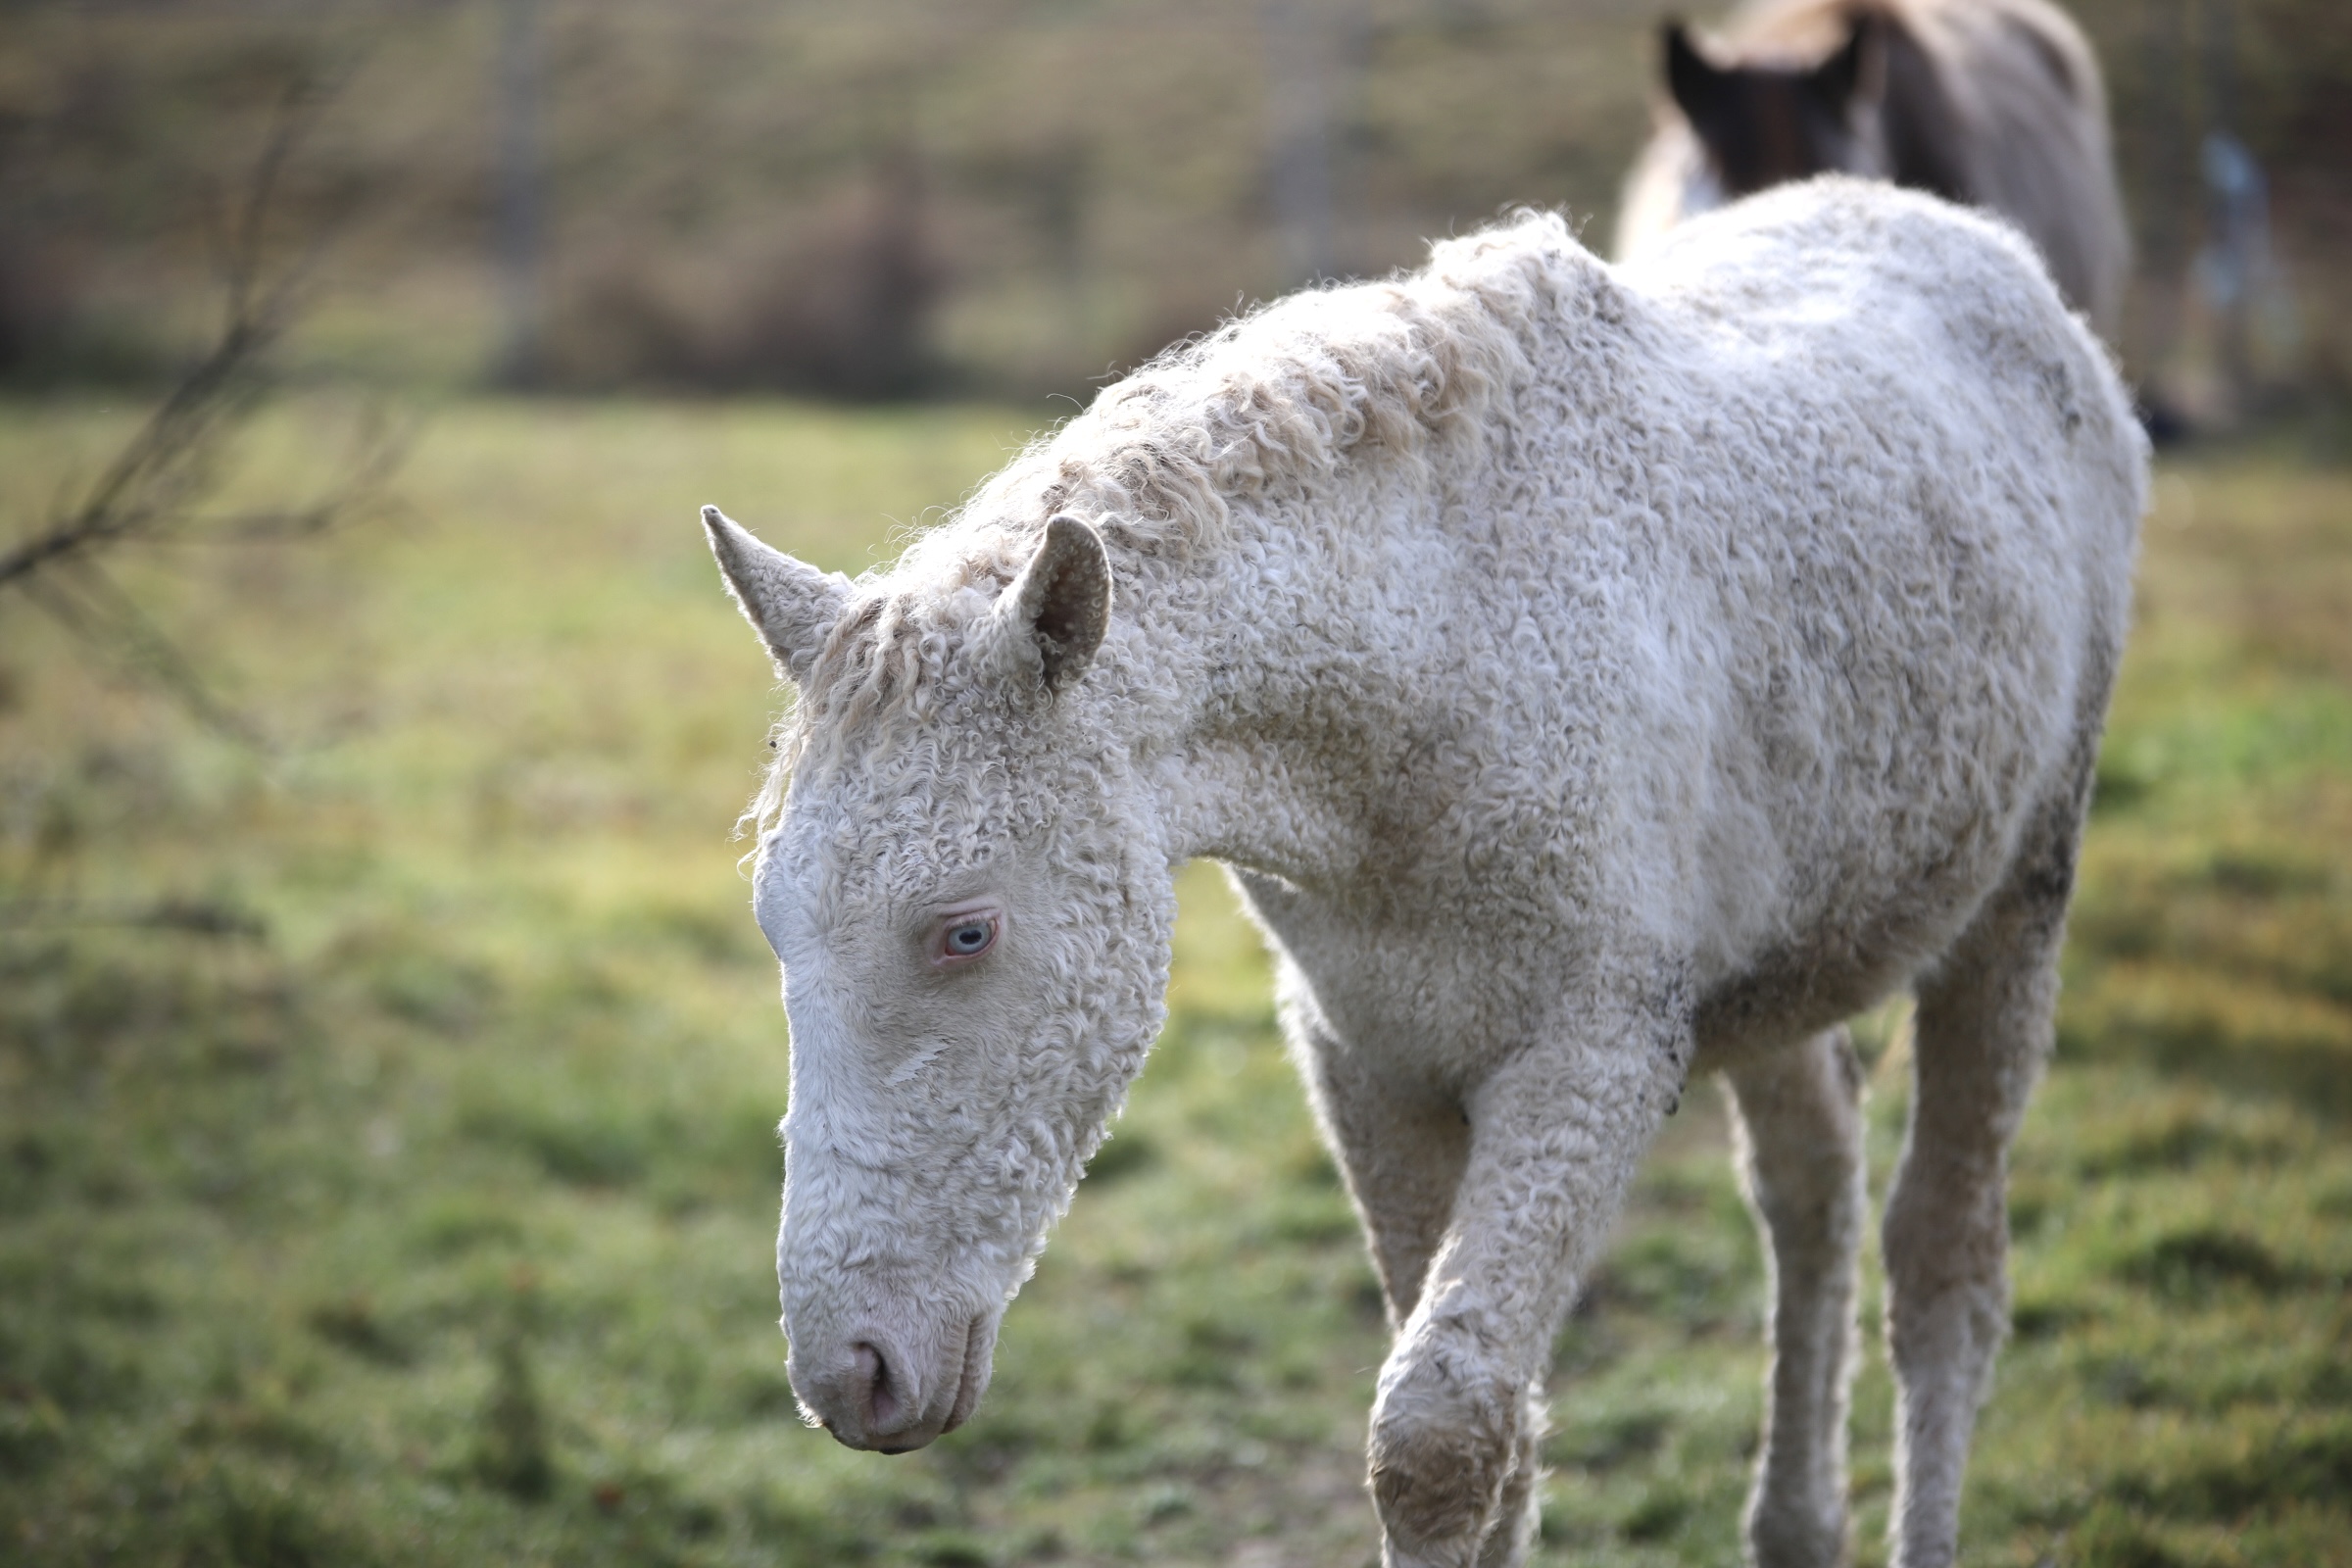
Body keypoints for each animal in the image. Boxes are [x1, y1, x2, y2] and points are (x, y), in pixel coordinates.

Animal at [704, 179, 2144, 1568]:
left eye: (966, 932)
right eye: (775, 929)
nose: (851, 1374)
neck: (1435, 677)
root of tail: (1984, 247)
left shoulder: (1592, 1058)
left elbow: (1442, 1437)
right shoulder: (1372, 1063)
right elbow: (1494, 1442)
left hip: (2016, 904)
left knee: (1943, 1269)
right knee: (1813, 1193)